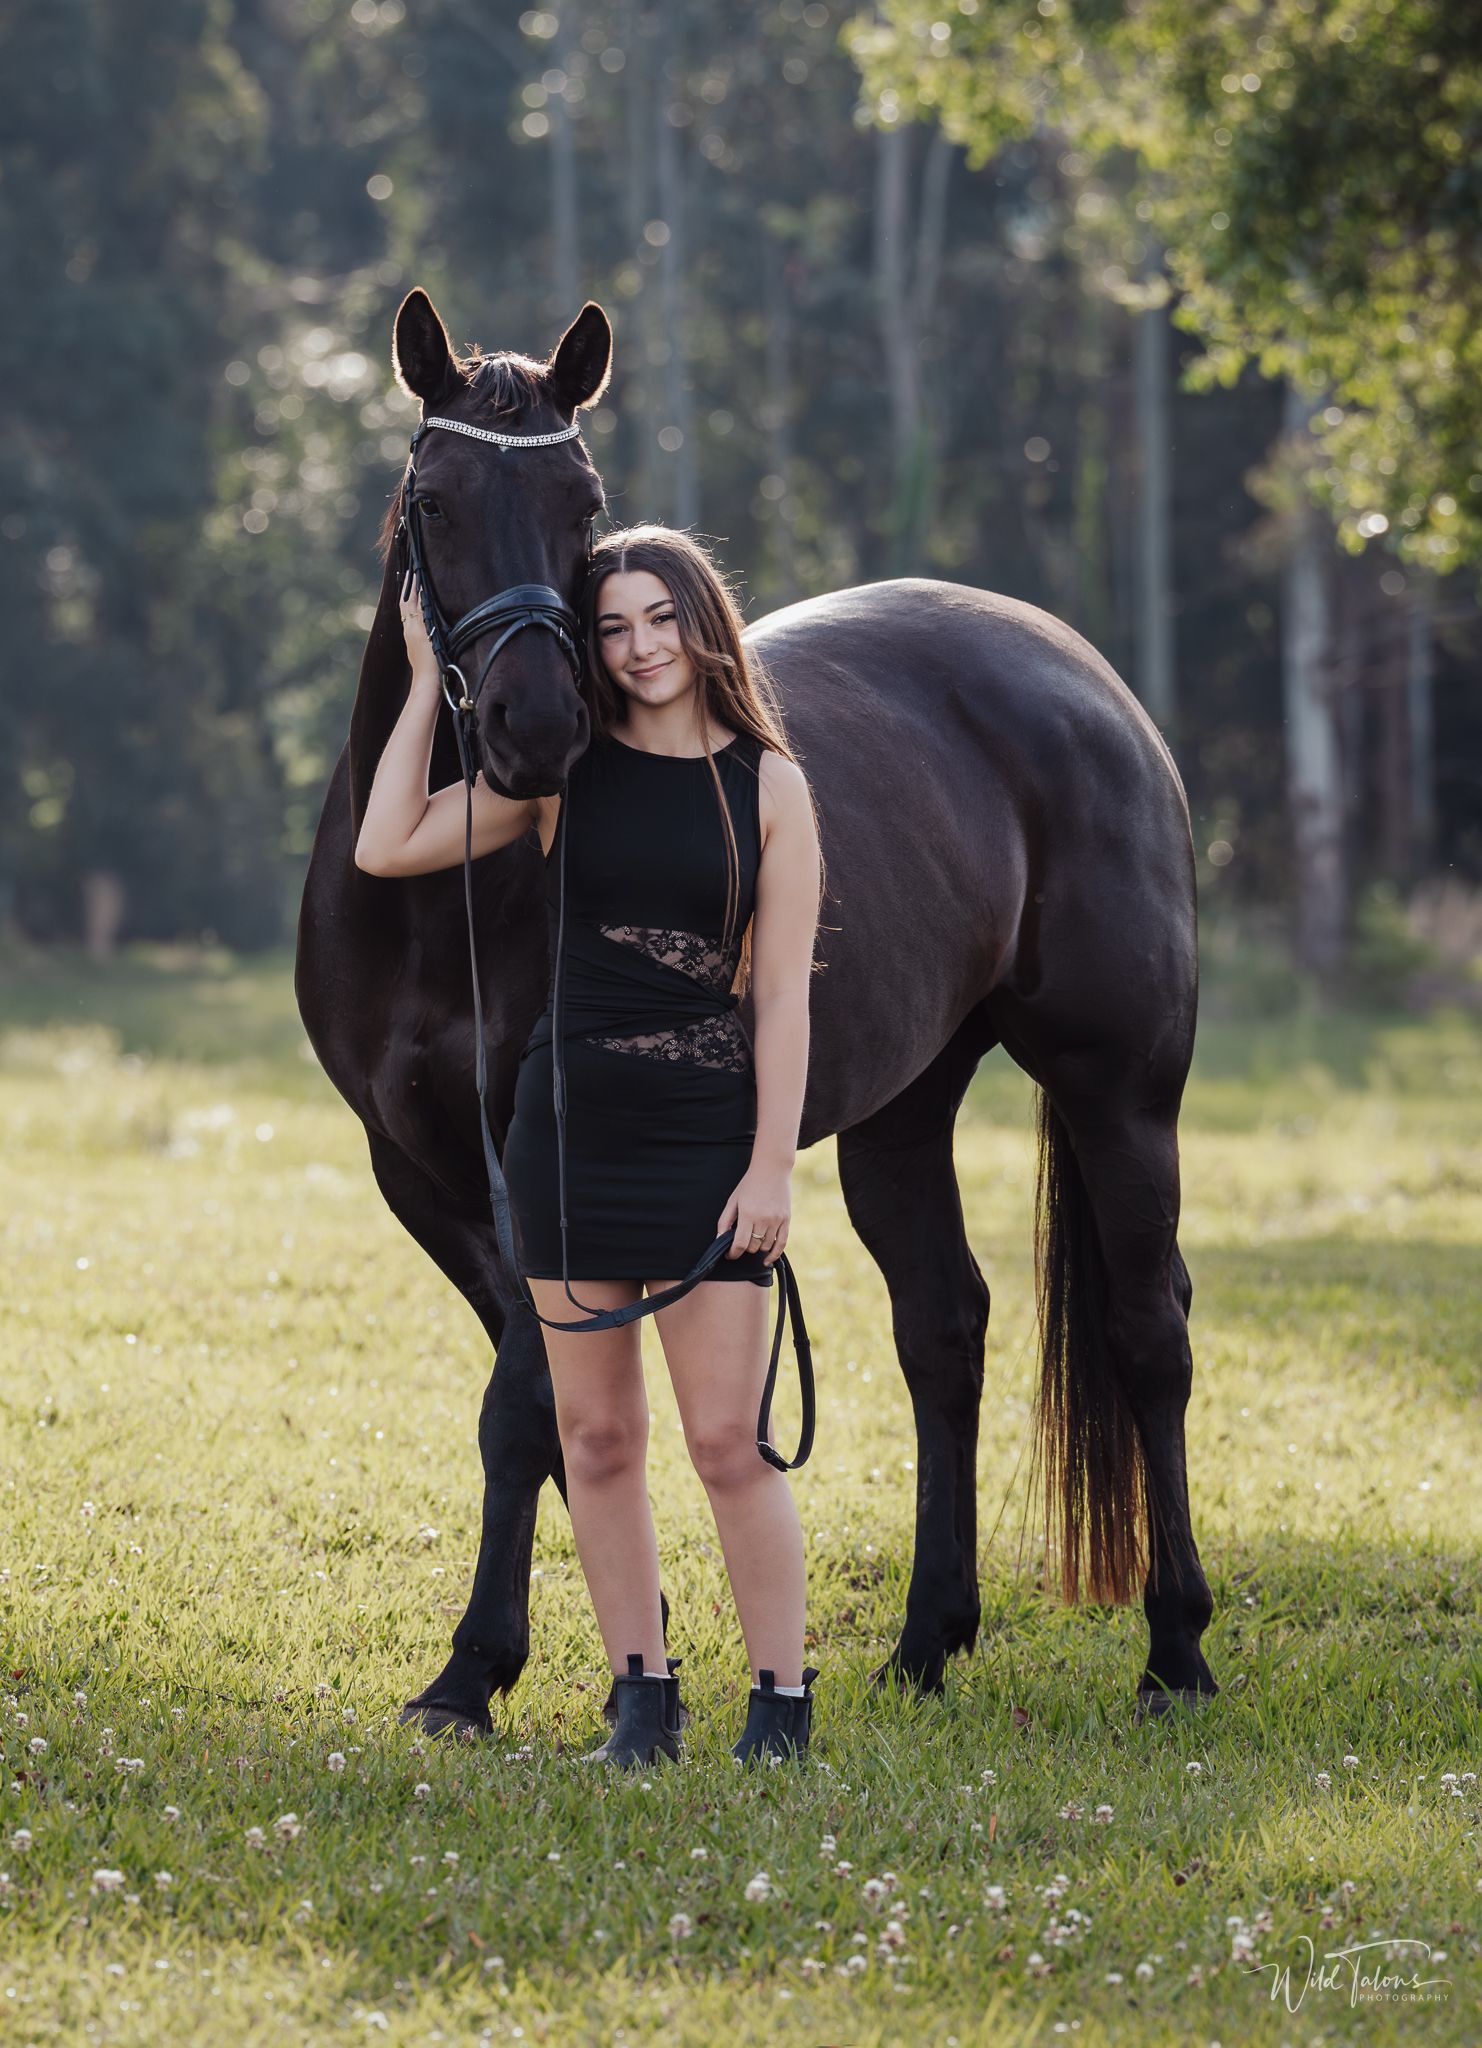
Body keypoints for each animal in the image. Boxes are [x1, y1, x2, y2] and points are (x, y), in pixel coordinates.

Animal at [295, 286, 1217, 1740]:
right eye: (433, 500)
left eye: (585, 501)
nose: (537, 728)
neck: (441, 900)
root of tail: (1079, 674)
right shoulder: (424, 1174)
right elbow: (552, 1394)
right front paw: (629, 1633)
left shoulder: (535, 1162)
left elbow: (519, 1410)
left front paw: (472, 1670)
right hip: (904, 1109)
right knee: (943, 1328)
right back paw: (924, 1642)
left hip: (1119, 1091)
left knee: (1147, 1333)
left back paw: (1173, 1650)